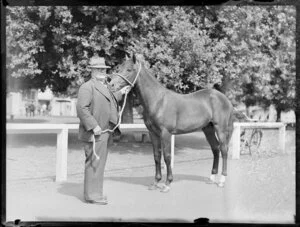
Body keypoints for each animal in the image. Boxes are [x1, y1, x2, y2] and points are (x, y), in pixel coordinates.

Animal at [109, 54, 236, 192]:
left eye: (129, 70)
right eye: (119, 68)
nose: (111, 84)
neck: (158, 101)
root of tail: (224, 98)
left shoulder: (166, 133)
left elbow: (167, 156)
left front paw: (167, 183)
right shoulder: (153, 133)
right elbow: (156, 156)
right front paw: (156, 182)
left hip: (220, 128)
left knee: (223, 149)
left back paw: (222, 180)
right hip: (208, 129)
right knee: (215, 148)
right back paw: (212, 177)